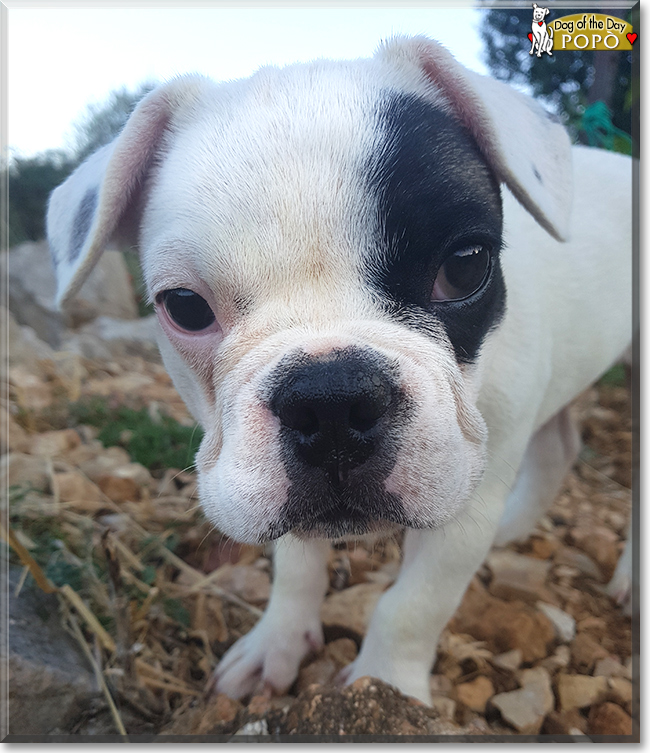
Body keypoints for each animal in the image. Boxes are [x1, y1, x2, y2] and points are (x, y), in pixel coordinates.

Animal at [46, 36, 632, 704]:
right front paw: (277, 642)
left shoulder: (469, 494)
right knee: (559, 446)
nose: (331, 400)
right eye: (185, 307)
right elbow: (295, 566)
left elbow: (415, 604)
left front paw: (388, 688)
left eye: (465, 265)